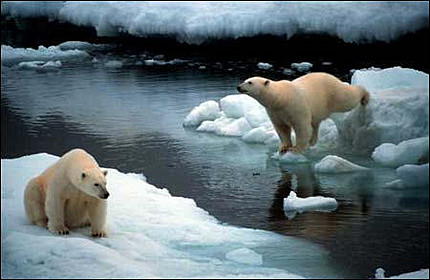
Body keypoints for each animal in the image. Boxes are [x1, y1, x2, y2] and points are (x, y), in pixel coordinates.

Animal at [235, 72, 370, 153]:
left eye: (250, 82)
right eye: (245, 80)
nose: (238, 87)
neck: (281, 98)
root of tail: (332, 77)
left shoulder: (296, 106)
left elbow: (301, 126)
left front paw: (296, 149)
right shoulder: (274, 111)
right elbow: (281, 128)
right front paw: (284, 147)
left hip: (332, 93)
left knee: (347, 98)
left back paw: (365, 96)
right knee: (315, 123)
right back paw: (312, 141)